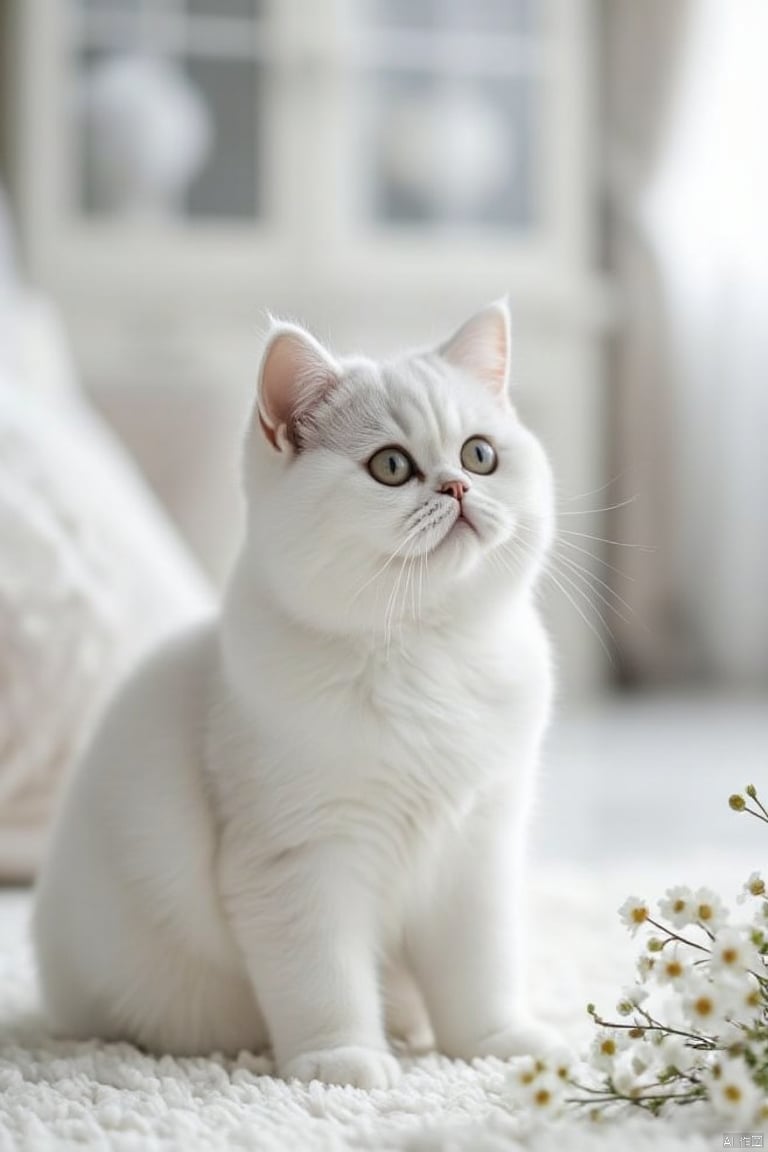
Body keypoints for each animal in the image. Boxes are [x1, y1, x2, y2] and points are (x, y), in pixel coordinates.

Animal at [33, 299, 561, 1087]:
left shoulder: (478, 848)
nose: (459, 488)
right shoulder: (298, 859)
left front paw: (501, 1045)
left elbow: (482, 967)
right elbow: (324, 980)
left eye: (479, 455)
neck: (426, 654)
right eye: (391, 466)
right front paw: (343, 1062)